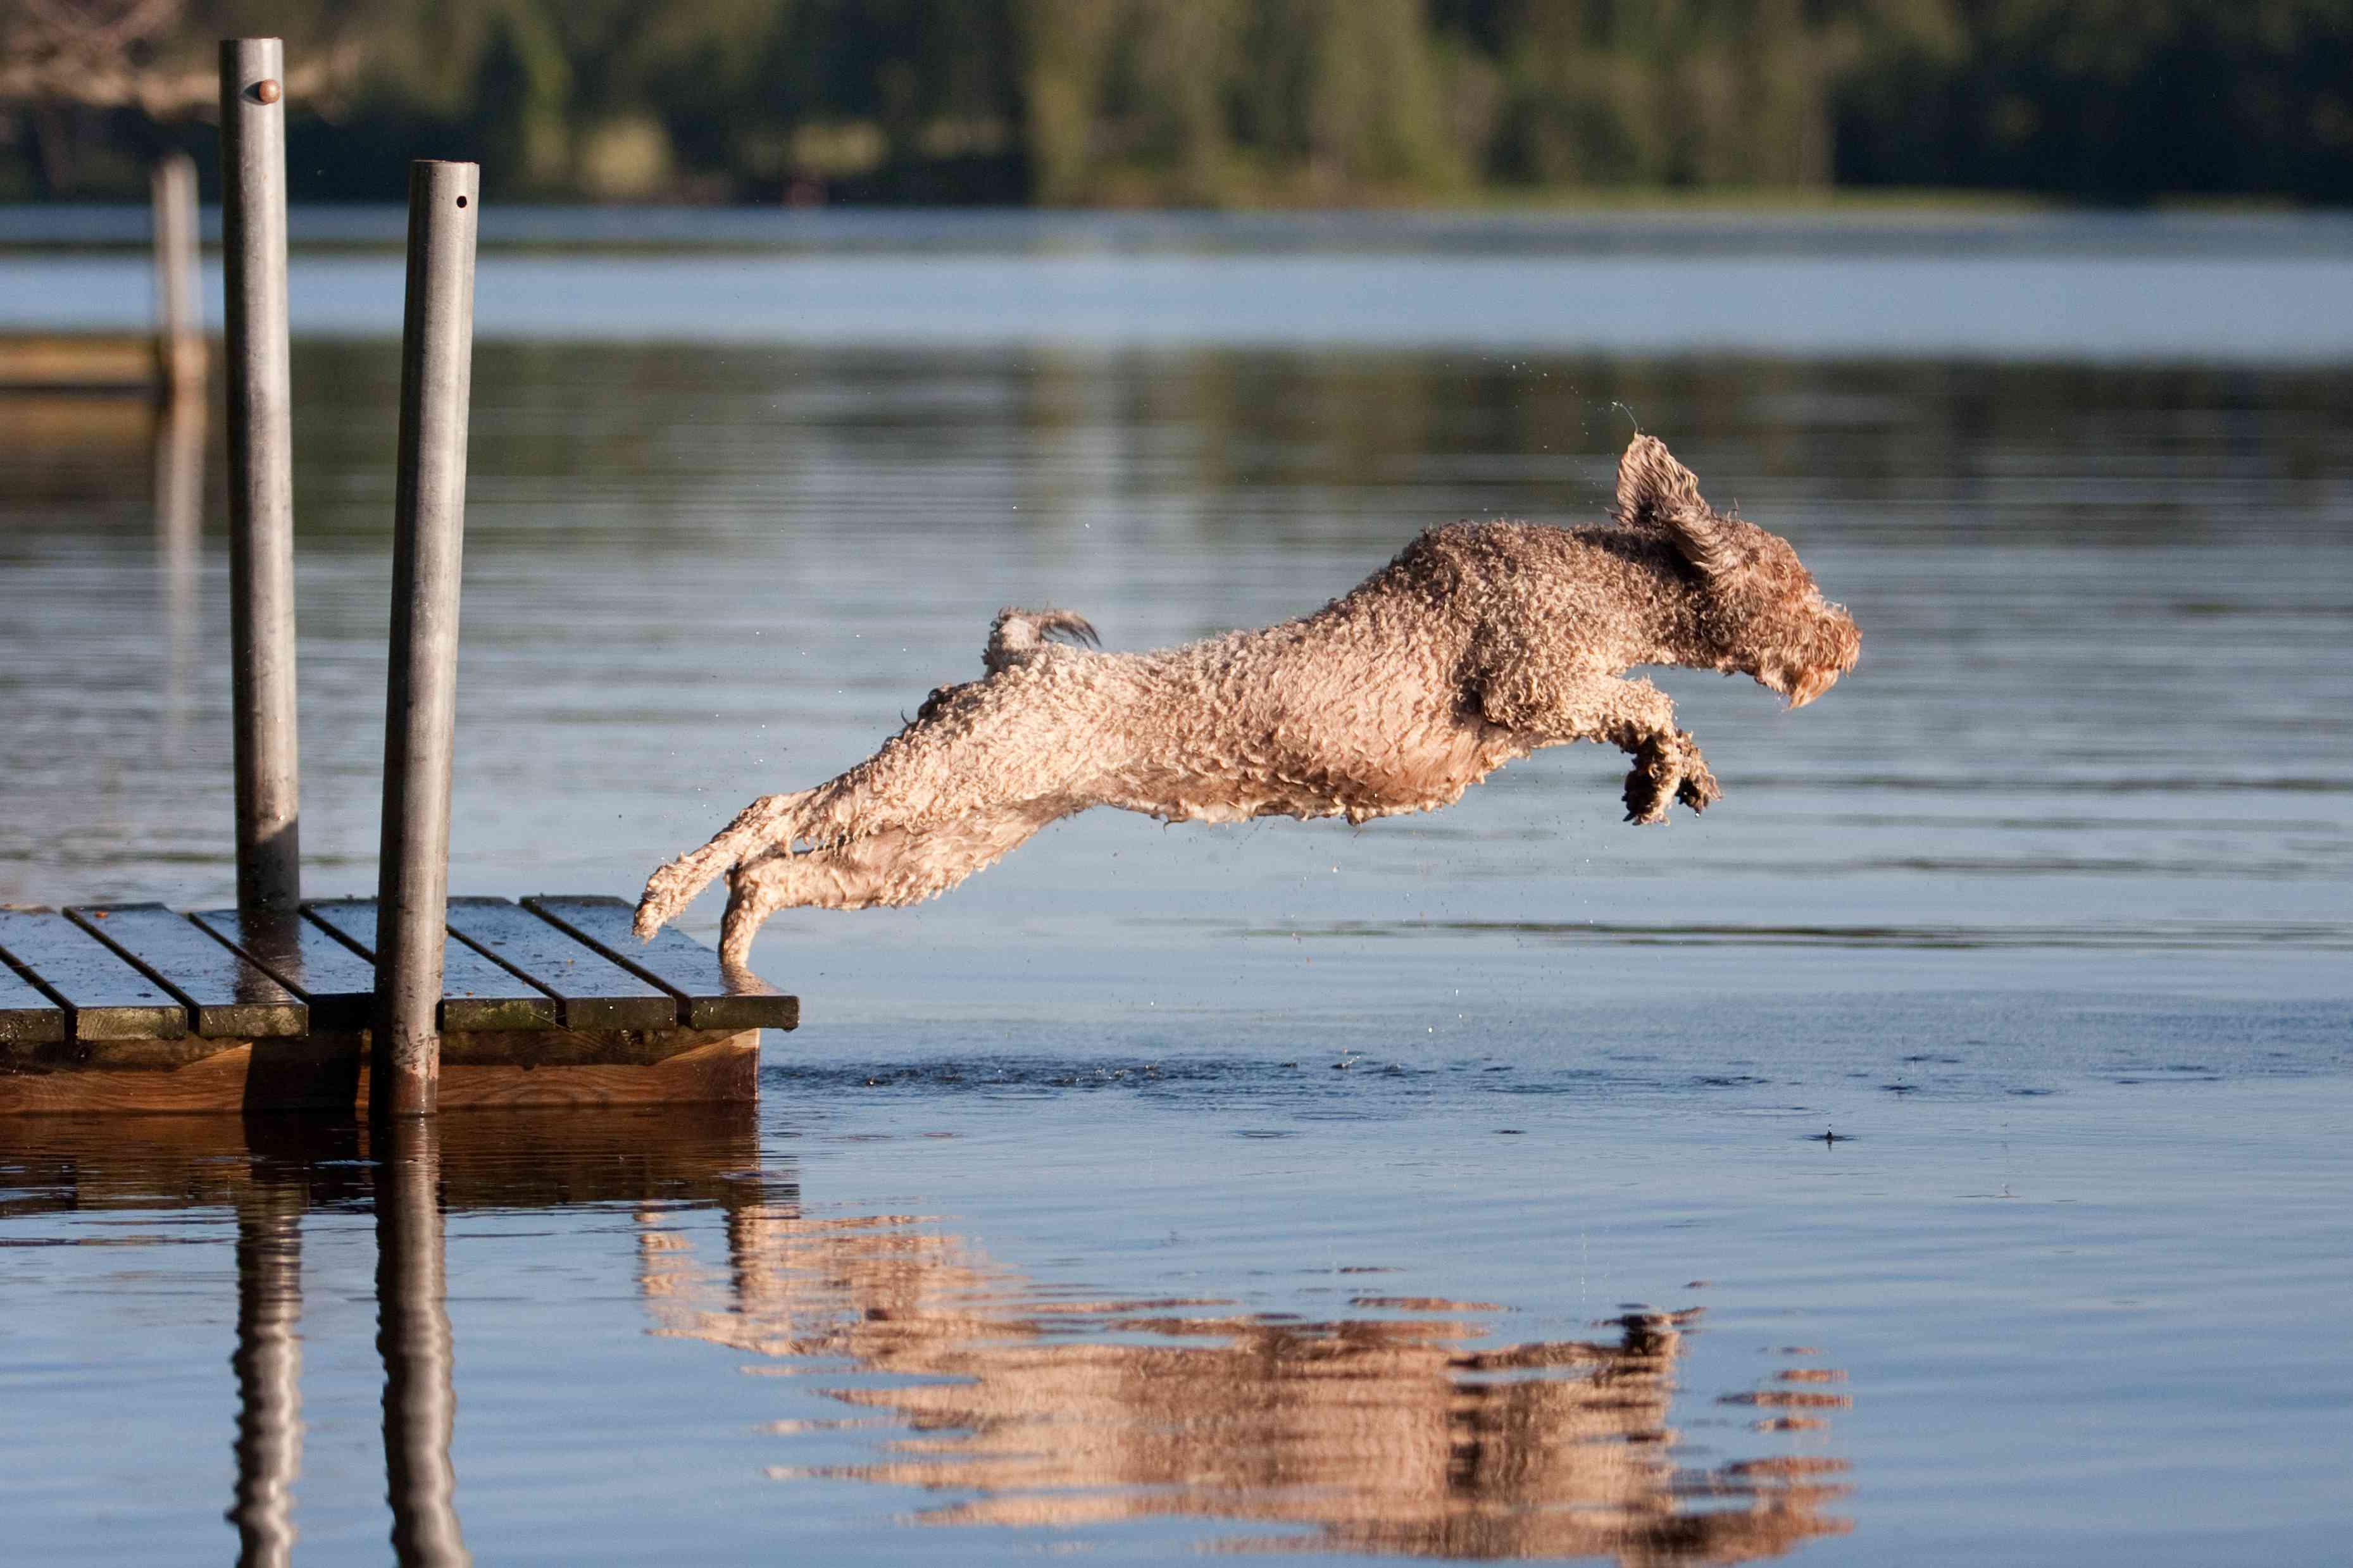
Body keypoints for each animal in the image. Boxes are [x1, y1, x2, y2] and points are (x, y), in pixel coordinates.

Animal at [640, 433, 1854, 961]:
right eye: (1797, 582)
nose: (1847, 637)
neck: (1596, 579)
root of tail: (1016, 662)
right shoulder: (1532, 680)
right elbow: (1644, 696)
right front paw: (1663, 764)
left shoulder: (1558, 693)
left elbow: (1652, 713)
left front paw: (1669, 781)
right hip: (936, 774)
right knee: (770, 811)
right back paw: (664, 895)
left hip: (946, 840)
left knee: (784, 873)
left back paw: (737, 934)